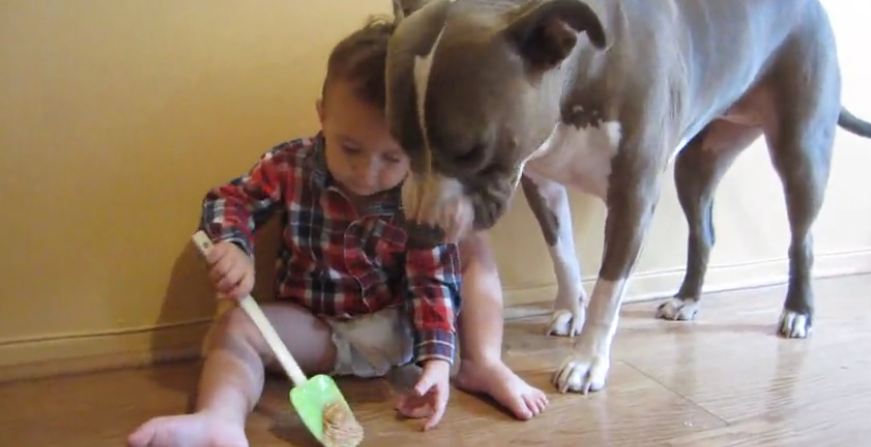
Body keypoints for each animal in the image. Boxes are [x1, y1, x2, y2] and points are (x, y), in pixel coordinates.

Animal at [386, 0, 871, 394]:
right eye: (401, 144)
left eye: (473, 151)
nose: (420, 231)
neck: (582, 72)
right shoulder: (540, 182)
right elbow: (562, 253)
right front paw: (570, 308)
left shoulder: (633, 197)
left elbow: (609, 287)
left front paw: (587, 361)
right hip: (695, 165)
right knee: (704, 232)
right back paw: (688, 298)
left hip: (800, 150)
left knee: (802, 239)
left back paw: (799, 310)